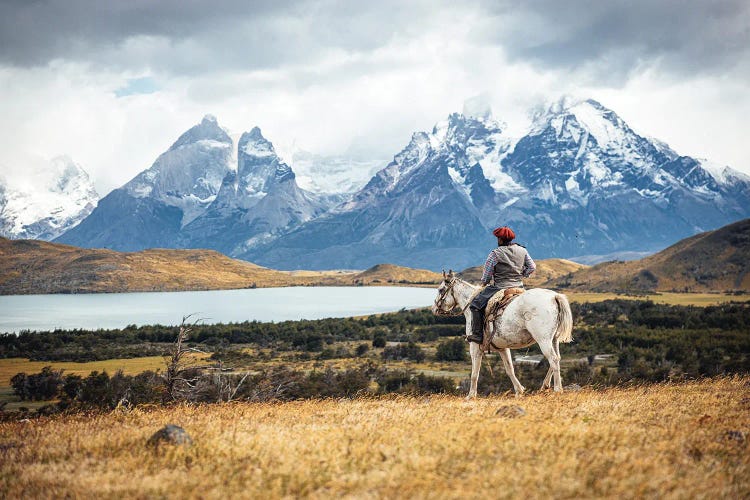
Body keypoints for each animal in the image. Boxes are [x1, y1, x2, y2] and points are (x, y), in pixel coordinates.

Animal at [432, 272, 572, 396]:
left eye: (440, 290)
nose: (434, 309)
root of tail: (554, 297)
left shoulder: (475, 347)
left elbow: (474, 373)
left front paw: (471, 395)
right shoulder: (503, 348)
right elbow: (510, 370)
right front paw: (519, 391)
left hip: (543, 340)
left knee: (553, 359)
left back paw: (557, 389)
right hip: (553, 339)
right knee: (557, 358)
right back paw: (545, 385)